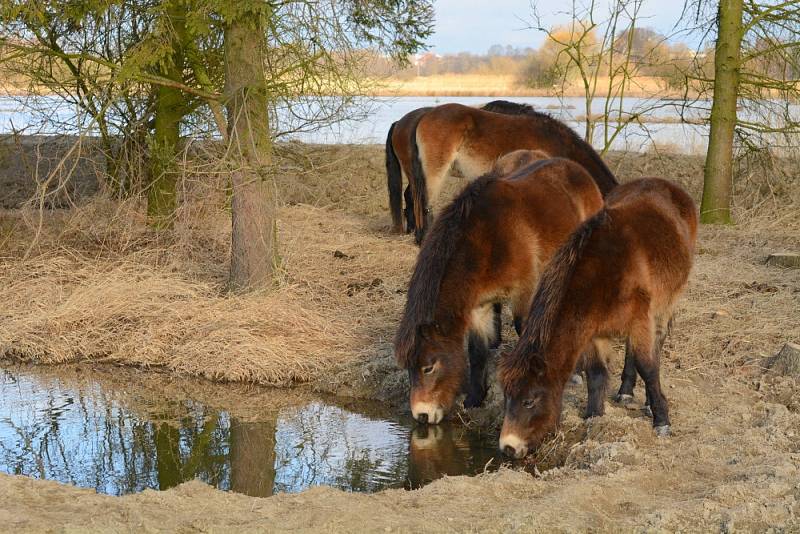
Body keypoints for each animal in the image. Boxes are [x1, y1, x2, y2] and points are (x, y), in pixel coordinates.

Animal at [394, 157, 600, 426]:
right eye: (408, 368)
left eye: (429, 366)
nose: (422, 415)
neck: (488, 239)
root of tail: (577, 169)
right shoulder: (480, 306)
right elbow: (477, 351)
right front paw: (474, 399)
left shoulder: (525, 293)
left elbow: (526, 332)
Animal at [496, 177, 696, 460]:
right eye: (505, 399)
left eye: (528, 401)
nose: (508, 447)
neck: (603, 275)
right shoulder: (591, 331)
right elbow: (596, 373)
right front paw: (594, 417)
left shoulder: (640, 321)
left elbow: (648, 367)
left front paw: (661, 420)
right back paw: (625, 393)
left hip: (664, 305)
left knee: (655, 344)